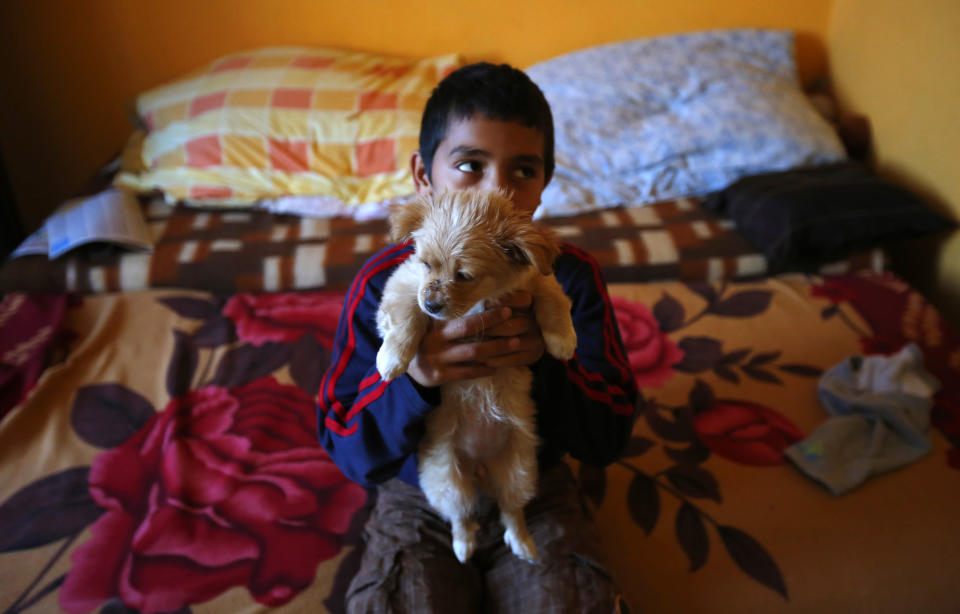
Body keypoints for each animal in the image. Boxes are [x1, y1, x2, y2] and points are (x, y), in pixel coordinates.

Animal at [376, 190, 576, 564]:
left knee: (511, 510)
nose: (433, 305)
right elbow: (406, 316)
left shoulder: (537, 281)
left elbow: (553, 302)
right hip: (446, 480)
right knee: (461, 515)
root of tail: (481, 470)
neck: (478, 302)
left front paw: (562, 341)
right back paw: (463, 545)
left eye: (465, 275)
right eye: (426, 264)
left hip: (520, 472)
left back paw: (523, 543)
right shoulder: (405, 283)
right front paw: (392, 359)